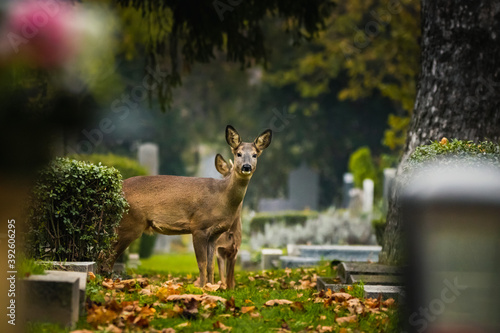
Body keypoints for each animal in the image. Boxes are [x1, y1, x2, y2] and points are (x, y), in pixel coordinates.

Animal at [106, 124, 274, 286]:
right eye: (238, 153)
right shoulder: (198, 227)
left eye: (254, 155)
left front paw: (212, 287)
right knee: (109, 255)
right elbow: (202, 263)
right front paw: (202, 288)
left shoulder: (214, 234)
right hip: (129, 223)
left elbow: (210, 265)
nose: (246, 167)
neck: (221, 197)